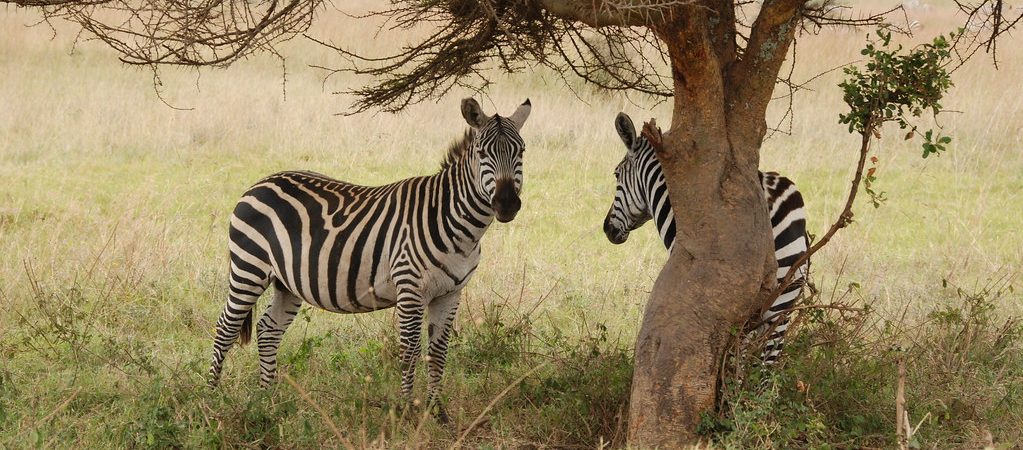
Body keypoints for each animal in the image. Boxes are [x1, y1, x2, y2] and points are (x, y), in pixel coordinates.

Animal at [207, 98, 532, 421]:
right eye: (482, 153)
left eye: (522, 151)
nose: (506, 204)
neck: (456, 225)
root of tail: (260, 182)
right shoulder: (410, 288)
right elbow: (409, 350)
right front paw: (406, 412)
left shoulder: (451, 293)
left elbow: (438, 352)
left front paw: (438, 413)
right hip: (249, 268)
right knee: (225, 328)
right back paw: (211, 399)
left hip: (287, 282)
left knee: (268, 330)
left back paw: (268, 399)